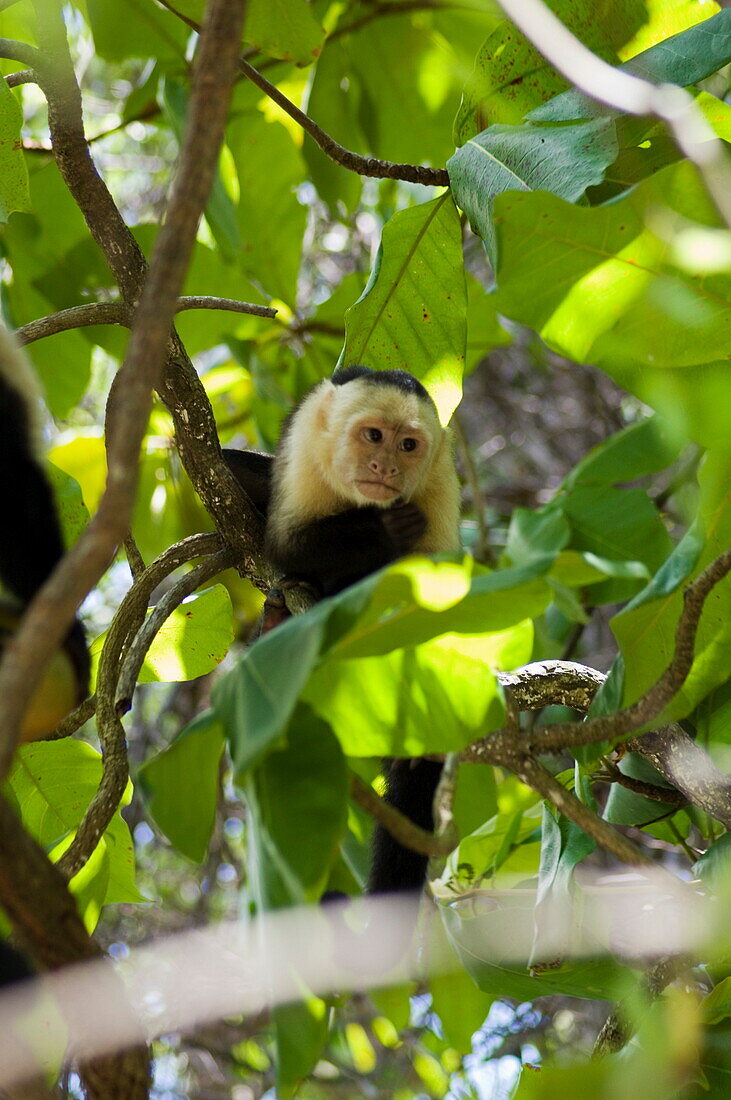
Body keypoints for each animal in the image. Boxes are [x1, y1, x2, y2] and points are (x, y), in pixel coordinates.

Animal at [225, 365, 459, 897]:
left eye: (408, 446)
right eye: (373, 436)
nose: (385, 468)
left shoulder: (438, 483)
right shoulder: (306, 442)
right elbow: (285, 543)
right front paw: (386, 529)